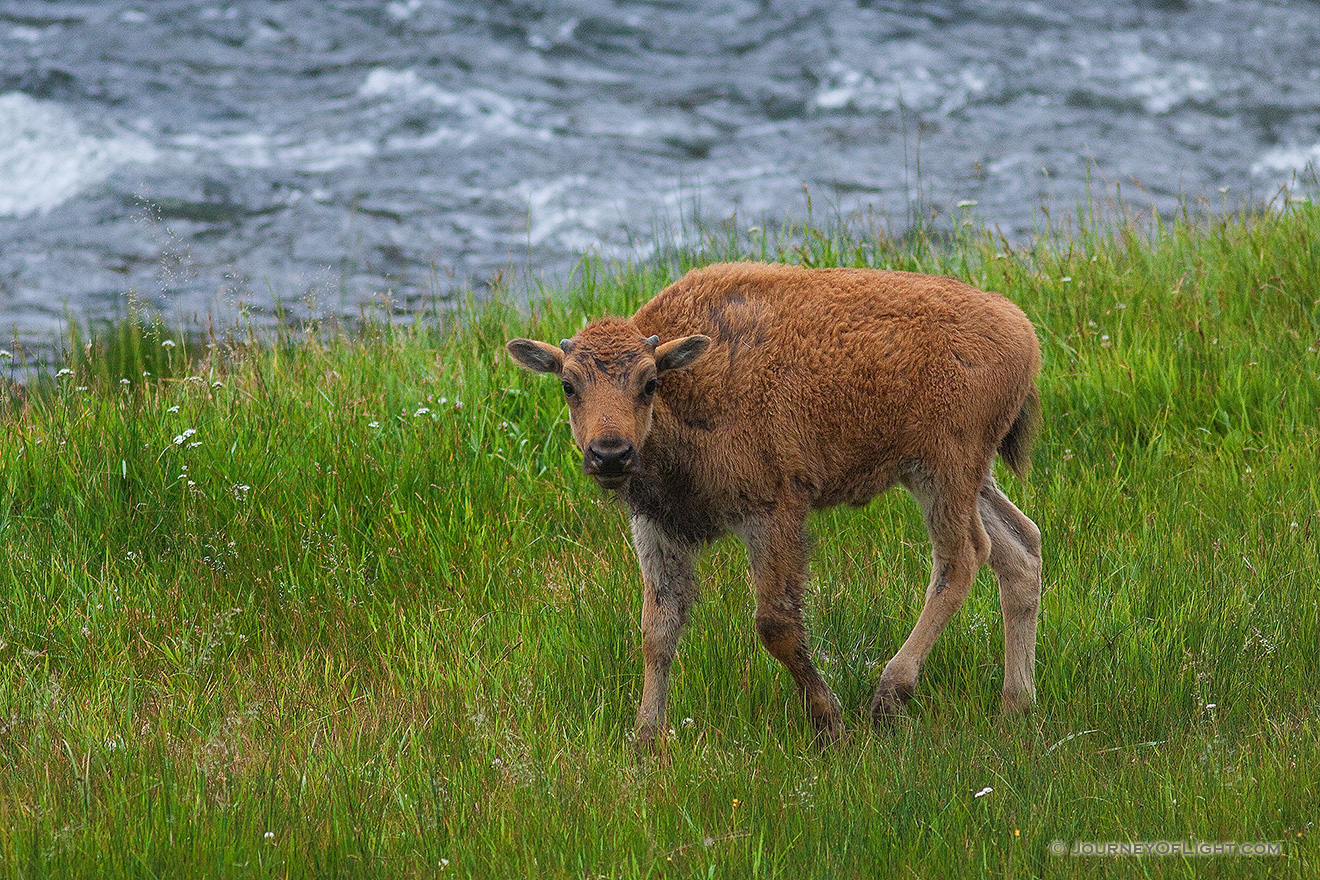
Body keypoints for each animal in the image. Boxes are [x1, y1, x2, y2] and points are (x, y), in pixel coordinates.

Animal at [509, 261, 1045, 744]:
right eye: (568, 385)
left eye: (649, 382)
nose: (610, 453)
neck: (688, 385)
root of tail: (1023, 331)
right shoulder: (658, 528)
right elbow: (658, 630)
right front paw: (645, 737)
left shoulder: (772, 515)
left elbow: (776, 625)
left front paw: (830, 724)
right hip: (962, 478)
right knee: (1021, 548)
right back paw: (1015, 706)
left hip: (943, 473)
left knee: (962, 558)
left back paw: (889, 697)